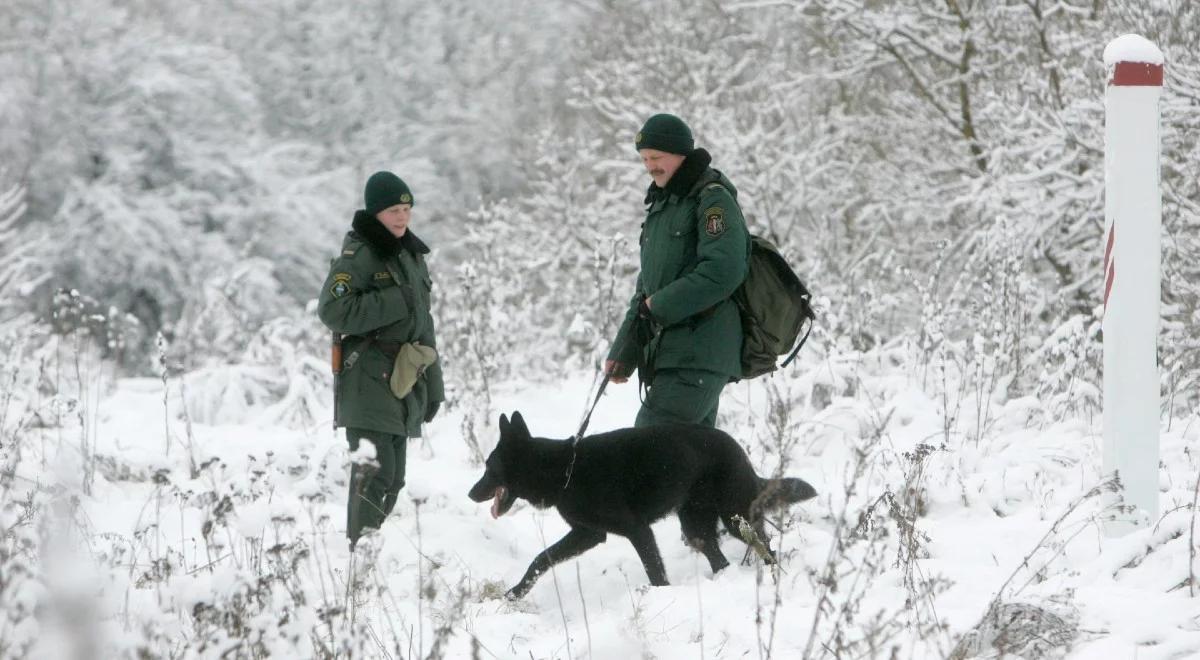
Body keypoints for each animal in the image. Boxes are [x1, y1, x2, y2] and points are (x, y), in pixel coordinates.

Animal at [465, 412, 816, 600]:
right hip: (697, 527)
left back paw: (773, 576)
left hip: (734, 517)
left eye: (489, 468)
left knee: (766, 546)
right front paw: (514, 594)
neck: (564, 469)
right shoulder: (587, 535)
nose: (470, 493)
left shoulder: (637, 531)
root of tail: (738, 450)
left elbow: (654, 569)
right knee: (720, 558)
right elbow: (540, 559)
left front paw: (661, 596)